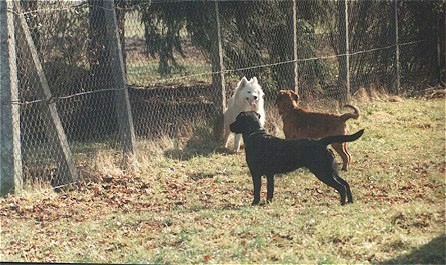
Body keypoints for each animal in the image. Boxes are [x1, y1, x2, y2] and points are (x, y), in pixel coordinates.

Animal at [228, 110, 364, 205]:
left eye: (237, 119)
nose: (229, 126)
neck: (255, 134)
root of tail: (321, 142)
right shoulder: (270, 174)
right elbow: (270, 190)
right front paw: (268, 202)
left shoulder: (255, 173)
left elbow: (257, 189)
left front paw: (254, 203)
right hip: (331, 171)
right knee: (346, 183)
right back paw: (350, 201)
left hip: (323, 172)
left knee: (341, 187)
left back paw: (342, 203)